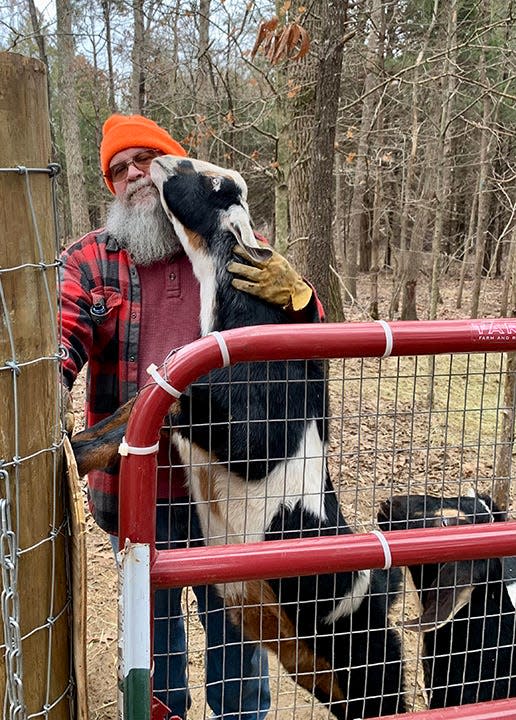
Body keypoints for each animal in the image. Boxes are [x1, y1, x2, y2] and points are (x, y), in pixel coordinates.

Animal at [71, 158, 408, 720]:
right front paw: (66, 452)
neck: (243, 318)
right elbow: (121, 418)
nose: (158, 161)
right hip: (319, 672)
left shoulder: (253, 427)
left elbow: (188, 407)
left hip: (363, 655)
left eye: (214, 185)